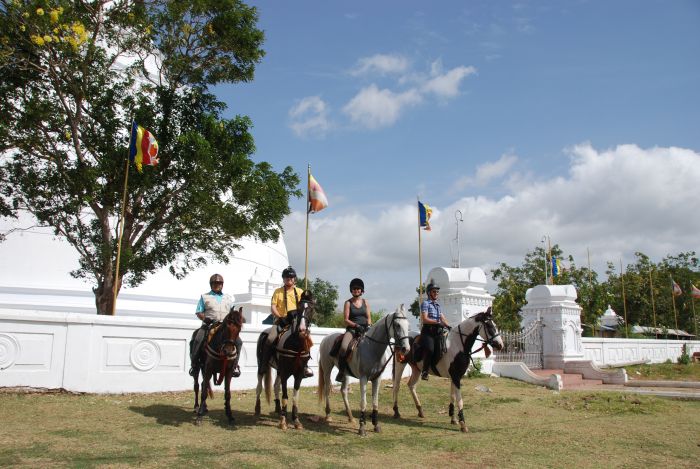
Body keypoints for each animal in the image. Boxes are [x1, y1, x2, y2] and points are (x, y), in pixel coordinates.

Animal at [318, 304, 410, 436]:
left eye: (408, 325)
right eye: (397, 325)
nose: (406, 349)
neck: (372, 349)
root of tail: (326, 339)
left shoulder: (377, 378)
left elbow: (375, 402)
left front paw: (376, 425)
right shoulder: (363, 379)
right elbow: (363, 402)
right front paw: (362, 427)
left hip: (345, 374)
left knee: (343, 391)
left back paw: (350, 417)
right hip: (327, 369)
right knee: (327, 390)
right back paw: (328, 415)